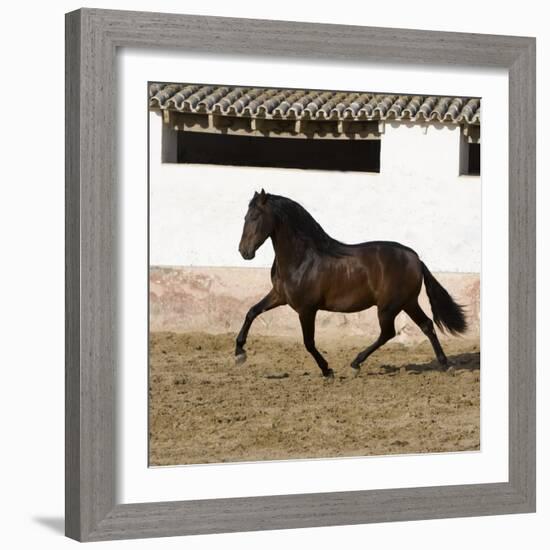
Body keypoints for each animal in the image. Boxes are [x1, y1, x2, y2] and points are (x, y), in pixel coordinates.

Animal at [235, 190, 468, 380]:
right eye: (245, 217)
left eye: (255, 217)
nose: (244, 251)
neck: (302, 259)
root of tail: (416, 259)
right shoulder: (279, 296)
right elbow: (251, 312)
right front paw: (239, 353)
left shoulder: (306, 309)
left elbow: (309, 342)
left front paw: (327, 370)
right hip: (408, 303)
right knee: (426, 325)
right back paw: (445, 364)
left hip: (388, 307)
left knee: (388, 333)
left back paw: (356, 364)